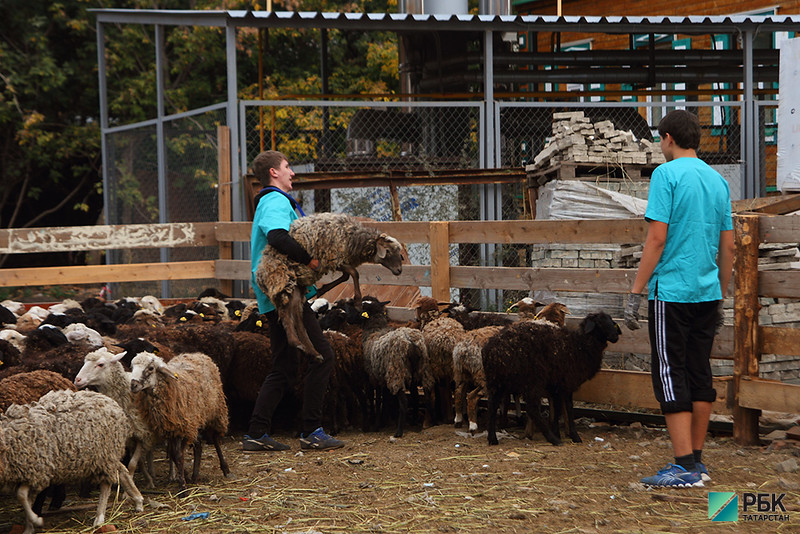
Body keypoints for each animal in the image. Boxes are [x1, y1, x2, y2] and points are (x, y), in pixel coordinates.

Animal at [0, 390, 144, 534]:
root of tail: (113, 403)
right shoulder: (26, 473)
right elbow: (25, 498)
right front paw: (29, 527)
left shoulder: (37, 470)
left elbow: (21, 495)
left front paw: (36, 521)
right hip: (104, 456)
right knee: (122, 470)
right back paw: (138, 500)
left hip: (105, 454)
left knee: (106, 484)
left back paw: (99, 518)